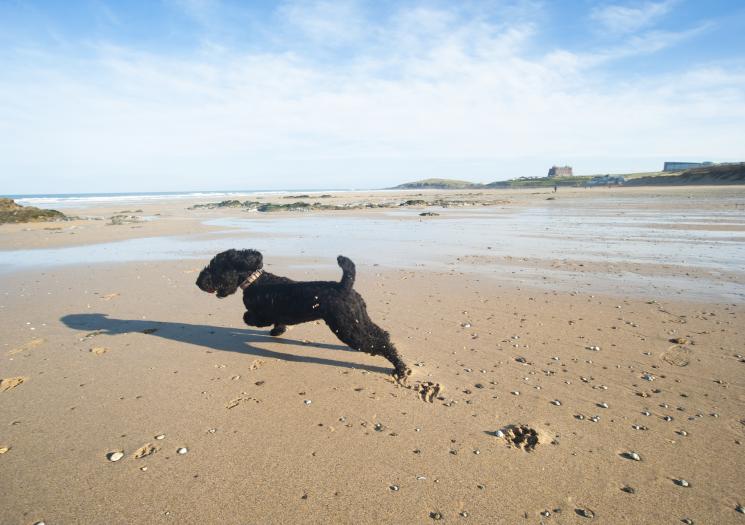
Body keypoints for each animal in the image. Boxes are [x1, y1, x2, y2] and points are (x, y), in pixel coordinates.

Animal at [195, 248, 410, 378]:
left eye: (215, 268)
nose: (198, 282)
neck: (254, 281)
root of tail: (344, 286)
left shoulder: (262, 313)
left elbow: (250, 317)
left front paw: (255, 322)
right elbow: (278, 323)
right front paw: (277, 331)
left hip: (347, 328)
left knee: (377, 344)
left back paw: (400, 368)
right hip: (359, 319)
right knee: (381, 335)